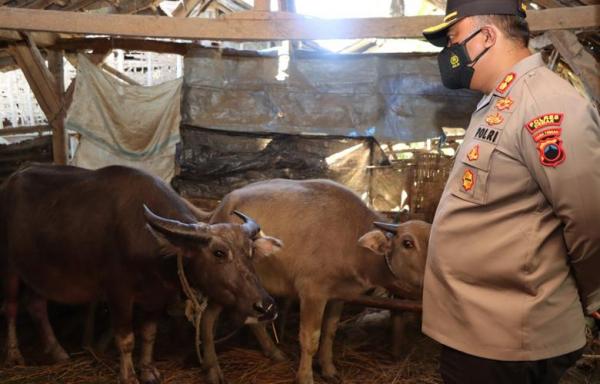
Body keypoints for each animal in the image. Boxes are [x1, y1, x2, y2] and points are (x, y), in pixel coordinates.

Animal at [0, 164, 282, 384]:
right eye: (219, 253)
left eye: (249, 252)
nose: (266, 306)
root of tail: (10, 182)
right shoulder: (119, 294)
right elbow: (126, 339)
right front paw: (129, 376)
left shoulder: (156, 296)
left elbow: (149, 334)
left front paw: (148, 371)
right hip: (11, 269)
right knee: (12, 307)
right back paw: (14, 355)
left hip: (39, 272)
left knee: (36, 305)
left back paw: (57, 351)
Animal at [202, 179, 432, 384]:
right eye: (408, 243)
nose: (431, 276)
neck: (351, 240)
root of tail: (220, 208)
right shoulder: (312, 293)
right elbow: (310, 339)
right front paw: (305, 377)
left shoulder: (339, 295)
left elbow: (329, 332)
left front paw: (328, 369)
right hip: (224, 287)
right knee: (206, 318)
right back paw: (213, 370)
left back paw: (274, 352)